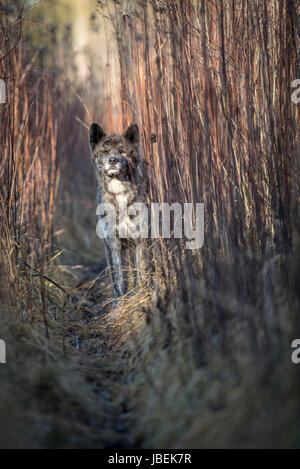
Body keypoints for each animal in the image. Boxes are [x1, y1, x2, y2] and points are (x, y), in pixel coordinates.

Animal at [89, 120, 149, 296]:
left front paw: (141, 296)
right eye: (105, 151)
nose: (113, 160)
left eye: (123, 151)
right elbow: (119, 280)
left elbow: (141, 273)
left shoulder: (140, 240)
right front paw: (121, 301)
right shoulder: (113, 244)